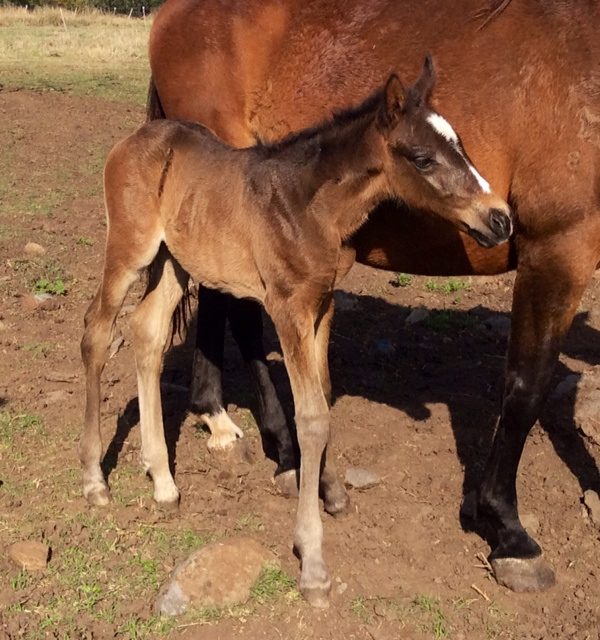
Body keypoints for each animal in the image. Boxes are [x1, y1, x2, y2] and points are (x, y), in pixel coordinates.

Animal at [79, 60, 511, 607]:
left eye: (462, 145)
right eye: (422, 158)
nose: (500, 219)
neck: (307, 206)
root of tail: (133, 139)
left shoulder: (323, 305)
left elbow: (323, 395)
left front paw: (332, 491)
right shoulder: (287, 308)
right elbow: (309, 417)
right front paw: (313, 563)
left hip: (176, 260)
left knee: (147, 332)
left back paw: (163, 482)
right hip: (129, 249)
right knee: (96, 333)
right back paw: (94, 479)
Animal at [147, 0, 600, 594]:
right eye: (423, 158)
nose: (497, 220)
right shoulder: (559, 246)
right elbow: (526, 388)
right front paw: (508, 532)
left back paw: (219, 416)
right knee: (242, 319)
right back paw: (284, 451)